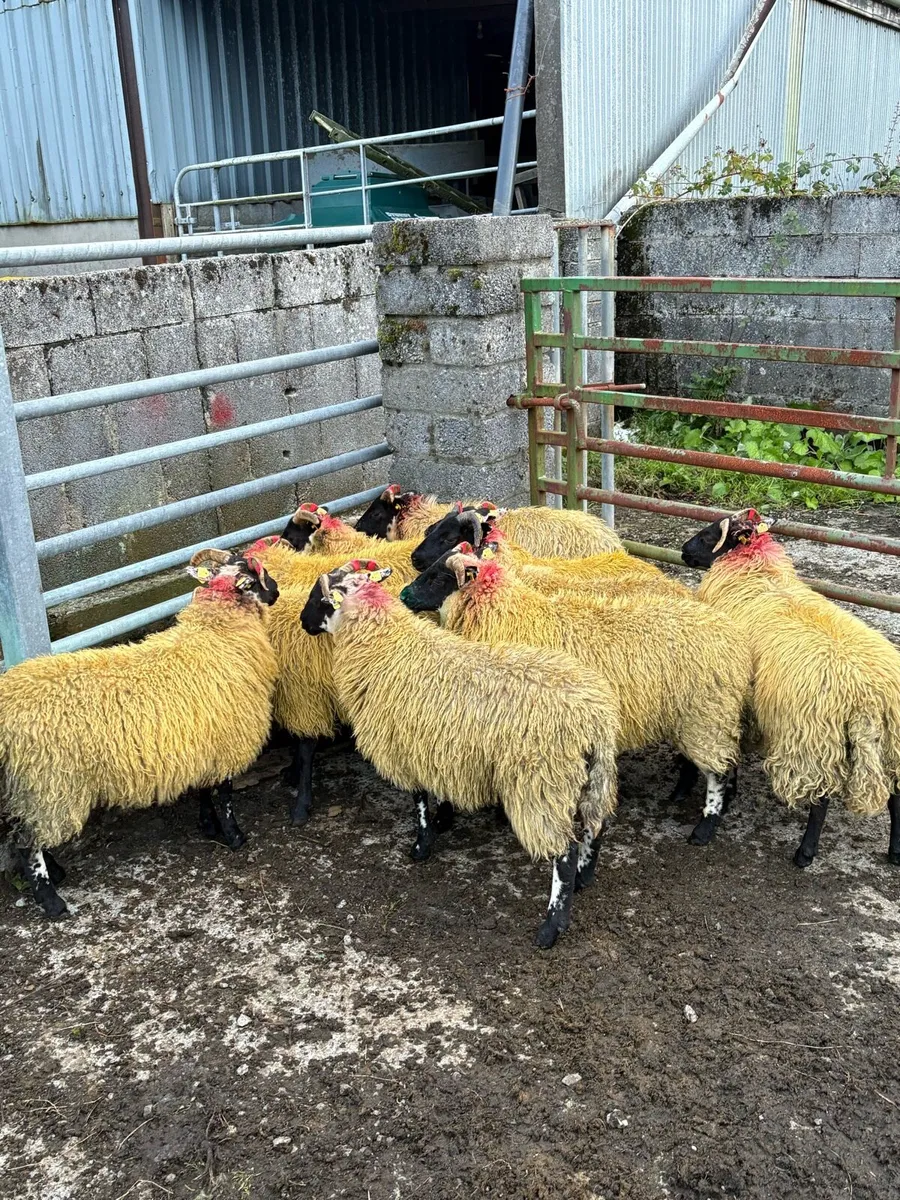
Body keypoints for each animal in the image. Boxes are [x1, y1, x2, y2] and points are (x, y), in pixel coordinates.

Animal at [0, 548, 279, 919]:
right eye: (257, 575)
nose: (277, 592)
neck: (214, 634)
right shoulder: (227, 740)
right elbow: (225, 795)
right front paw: (234, 837)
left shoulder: (205, 742)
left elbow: (205, 791)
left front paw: (208, 826)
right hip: (51, 784)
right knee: (28, 843)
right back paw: (51, 899)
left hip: (34, 787)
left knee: (23, 833)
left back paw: (56, 874)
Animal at [245, 535, 422, 826]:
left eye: (320, 598)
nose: (302, 620)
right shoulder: (305, 696)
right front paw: (293, 774)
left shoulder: (305, 694)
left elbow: (306, 748)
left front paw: (301, 803)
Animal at [299, 559, 622, 949]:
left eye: (319, 598)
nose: (302, 621)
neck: (387, 645)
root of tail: (593, 720)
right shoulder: (437, 748)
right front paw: (443, 820)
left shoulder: (405, 745)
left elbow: (419, 800)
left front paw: (421, 846)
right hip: (595, 776)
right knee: (596, 824)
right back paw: (584, 878)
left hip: (541, 784)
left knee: (564, 851)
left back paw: (551, 925)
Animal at [400, 542, 752, 845]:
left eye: (438, 576)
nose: (403, 596)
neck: (514, 616)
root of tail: (733, 636)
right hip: (695, 713)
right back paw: (686, 793)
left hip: (706, 711)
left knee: (719, 769)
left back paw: (705, 826)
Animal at [682, 508, 900, 867]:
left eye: (709, 533)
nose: (684, 551)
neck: (756, 571)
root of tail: (867, 694)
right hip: (892, 741)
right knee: (896, 796)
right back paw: (895, 851)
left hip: (813, 740)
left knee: (821, 800)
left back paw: (805, 852)